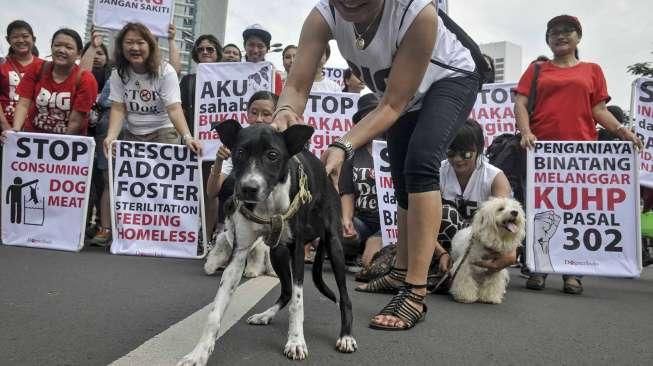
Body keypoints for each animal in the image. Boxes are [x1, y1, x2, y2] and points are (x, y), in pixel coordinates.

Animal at [178, 121, 356, 366]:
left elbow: (298, 303)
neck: (268, 203)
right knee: (286, 291)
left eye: (272, 155)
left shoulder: (297, 251)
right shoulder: (239, 253)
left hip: (334, 246)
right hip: (277, 252)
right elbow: (215, 310)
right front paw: (199, 352)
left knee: (343, 297)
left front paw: (296, 341)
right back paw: (265, 315)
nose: (248, 189)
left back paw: (346, 336)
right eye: (239, 153)